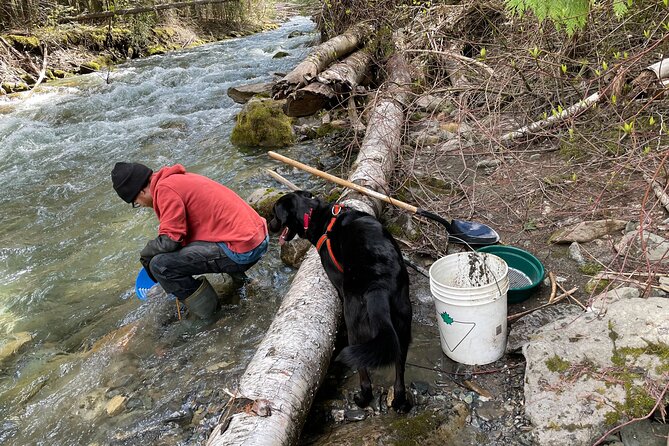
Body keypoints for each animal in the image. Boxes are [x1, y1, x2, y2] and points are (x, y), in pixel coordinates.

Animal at [268, 190, 410, 412]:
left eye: (274, 213)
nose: (269, 225)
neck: (315, 215)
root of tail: (378, 287)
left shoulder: (337, 282)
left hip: (354, 326)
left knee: (364, 375)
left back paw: (362, 399)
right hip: (403, 328)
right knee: (399, 371)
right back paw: (399, 402)